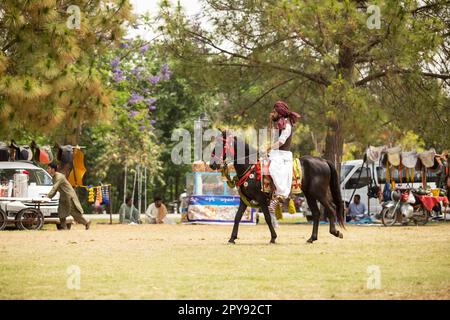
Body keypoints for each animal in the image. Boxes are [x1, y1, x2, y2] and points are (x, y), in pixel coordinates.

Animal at [210, 131, 344, 244]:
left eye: (220, 145)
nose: (212, 165)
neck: (251, 167)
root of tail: (323, 161)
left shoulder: (262, 199)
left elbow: (268, 218)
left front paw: (273, 238)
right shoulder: (244, 200)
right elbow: (237, 217)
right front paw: (232, 238)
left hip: (319, 193)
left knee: (332, 208)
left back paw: (335, 232)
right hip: (310, 194)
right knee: (316, 213)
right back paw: (312, 238)